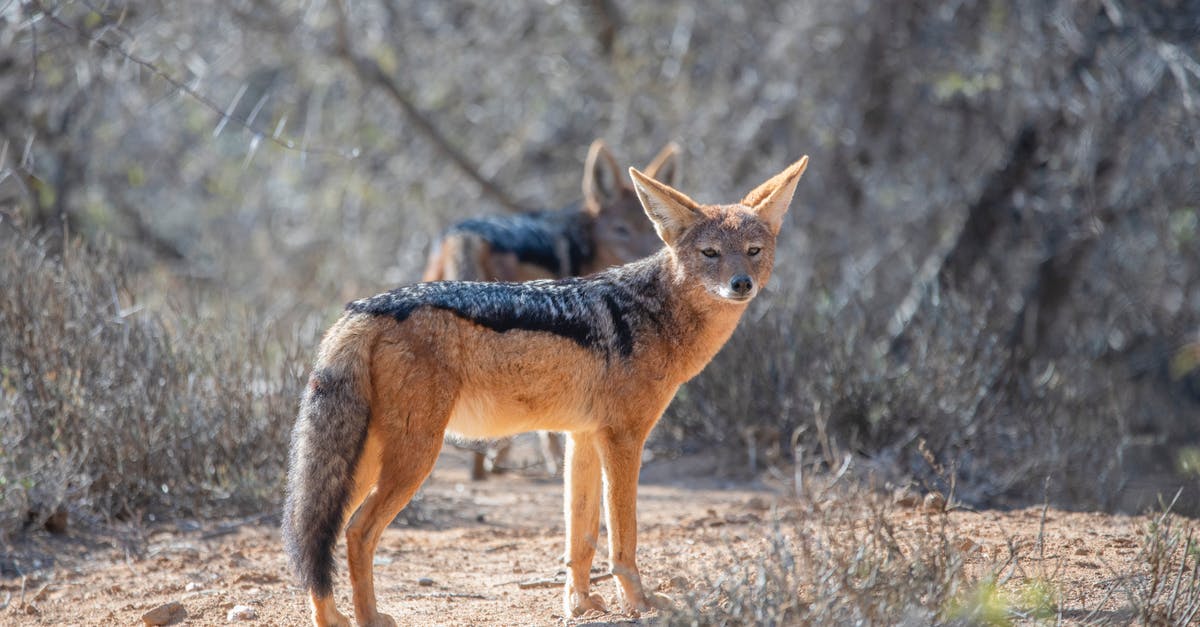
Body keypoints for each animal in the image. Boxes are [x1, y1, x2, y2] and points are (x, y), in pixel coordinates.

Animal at [423, 139, 680, 480]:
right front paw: (554, 462)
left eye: (649, 230)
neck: (581, 242)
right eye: (621, 230)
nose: (648, 260)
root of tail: (466, 234)